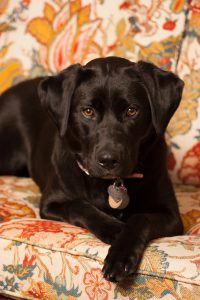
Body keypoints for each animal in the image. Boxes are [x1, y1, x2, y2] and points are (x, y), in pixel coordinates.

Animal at [0, 56, 184, 284]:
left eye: (131, 110)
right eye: (88, 111)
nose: (108, 160)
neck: (110, 184)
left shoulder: (172, 215)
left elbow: (141, 218)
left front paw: (120, 256)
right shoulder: (51, 202)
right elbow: (80, 206)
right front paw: (115, 228)